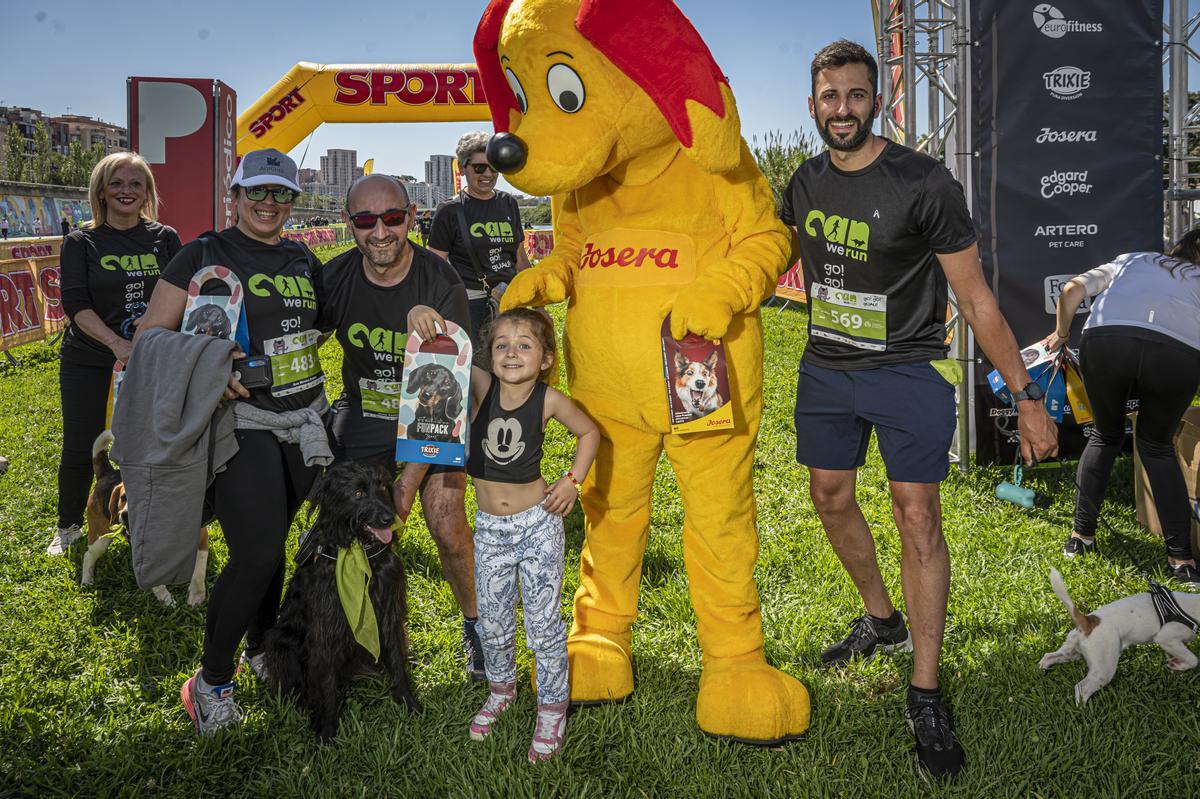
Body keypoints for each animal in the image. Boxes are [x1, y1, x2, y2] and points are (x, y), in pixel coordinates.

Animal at [264, 460, 422, 739]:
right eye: (358, 493)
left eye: (383, 486)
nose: (389, 518)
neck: (361, 553)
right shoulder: (326, 628)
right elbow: (325, 682)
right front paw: (327, 727)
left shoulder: (389, 611)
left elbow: (395, 657)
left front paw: (406, 700)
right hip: (279, 642)